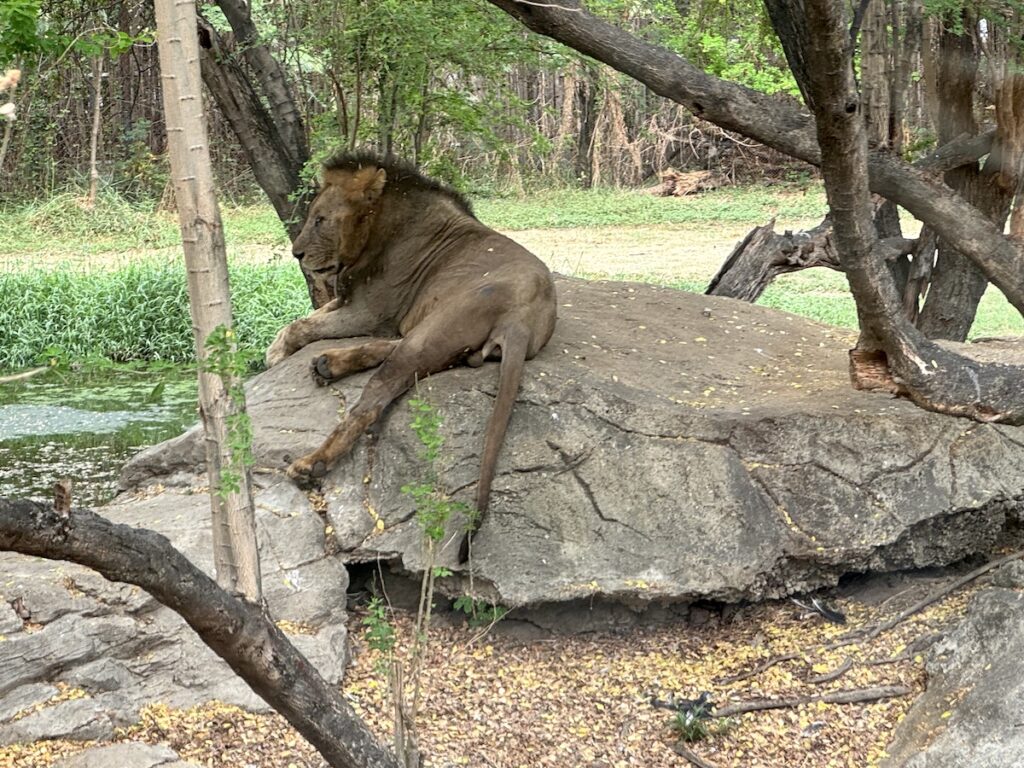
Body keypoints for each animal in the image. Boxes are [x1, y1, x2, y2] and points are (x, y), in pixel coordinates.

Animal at [266, 152, 557, 557]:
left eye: (320, 219)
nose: (298, 254)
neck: (380, 230)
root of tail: (522, 319)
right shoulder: (356, 304)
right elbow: (306, 318)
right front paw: (275, 348)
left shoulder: (369, 312)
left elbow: (304, 325)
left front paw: (276, 354)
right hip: (434, 333)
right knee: (396, 352)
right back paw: (328, 364)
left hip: (435, 328)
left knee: (374, 397)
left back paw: (312, 462)